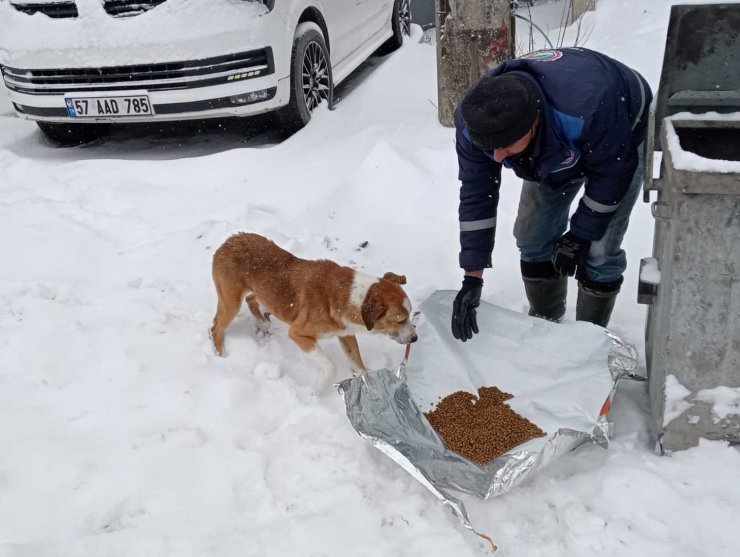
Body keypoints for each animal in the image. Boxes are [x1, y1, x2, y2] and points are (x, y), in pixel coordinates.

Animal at [210, 232, 416, 388]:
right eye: (400, 320)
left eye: (410, 315)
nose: (414, 338)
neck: (353, 296)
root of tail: (226, 242)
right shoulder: (298, 333)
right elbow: (330, 366)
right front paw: (317, 391)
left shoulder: (346, 334)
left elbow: (357, 361)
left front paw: (367, 382)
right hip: (230, 303)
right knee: (215, 327)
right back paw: (220, 354)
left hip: (256, 292)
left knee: (251, 299)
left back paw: (261, 322)